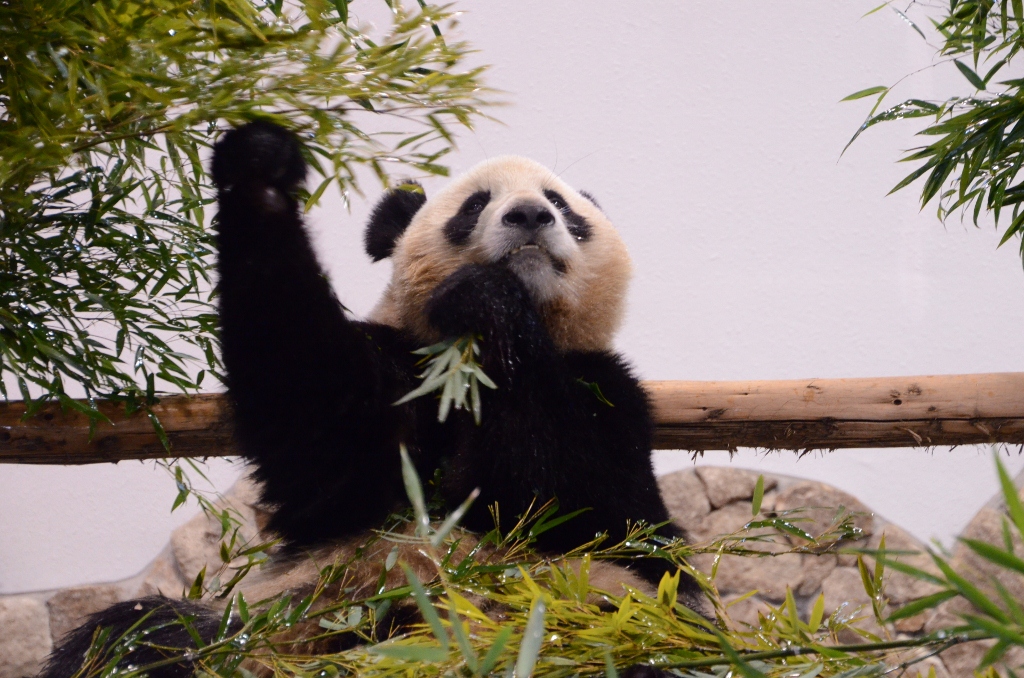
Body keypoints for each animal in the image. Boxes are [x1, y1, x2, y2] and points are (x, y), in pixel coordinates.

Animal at [41, 123, 712, 678]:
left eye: (564, 206)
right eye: (475, 205)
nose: (529, 215)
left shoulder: (612, 396)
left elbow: (572, 498)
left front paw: (486, 298)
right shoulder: (399, 372)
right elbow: (316, 411)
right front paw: (261, 166)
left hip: (601, 625)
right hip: (273, 628)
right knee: (139, 638)